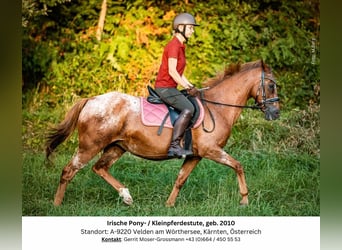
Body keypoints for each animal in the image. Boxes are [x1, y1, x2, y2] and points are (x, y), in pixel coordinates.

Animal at [45, 60, 280, 207]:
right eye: (271, 86)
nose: (276, 113)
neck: (218, 107)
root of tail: (91, 100)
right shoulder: (211, 150)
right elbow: (238, 166)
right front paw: (245, 200)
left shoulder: (196, 155)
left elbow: (180, 179)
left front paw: (169, 204)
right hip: (89, 146)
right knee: (68, 171)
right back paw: (56, 205)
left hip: (116, 147)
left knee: (99, 168)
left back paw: (126, 196)